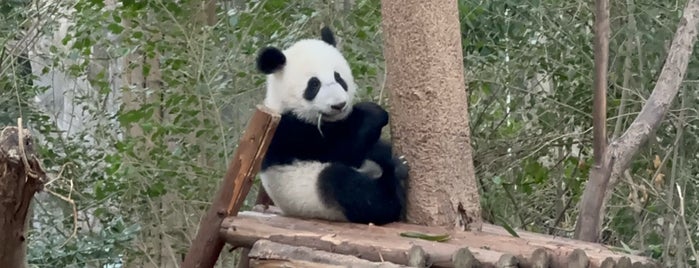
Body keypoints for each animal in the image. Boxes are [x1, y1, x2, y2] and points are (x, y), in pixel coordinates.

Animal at [256, 27, 410, 225]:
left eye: (339, 78)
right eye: (314, 85)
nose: (339, 105)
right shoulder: (288, 130)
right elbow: (344, 151)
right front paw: (373, 113)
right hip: (314, 193)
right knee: (346, 185)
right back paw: (395, 180)